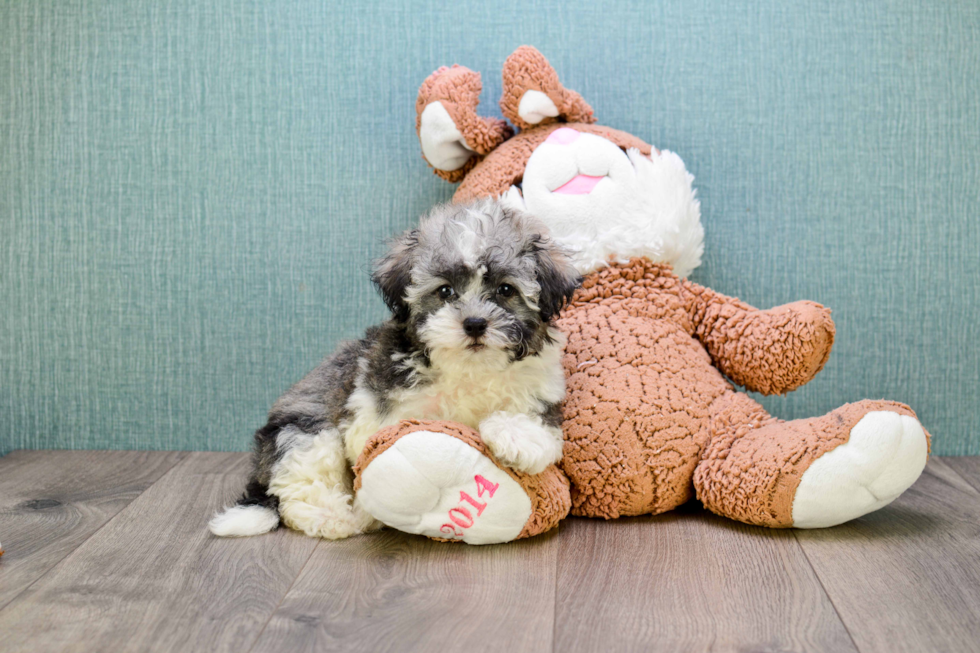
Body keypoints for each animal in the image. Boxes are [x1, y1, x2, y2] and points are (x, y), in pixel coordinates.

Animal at [206, 200, 576, 540]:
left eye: (505, 290)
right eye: (445, 291)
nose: (474, 323)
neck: (468, 369)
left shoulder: (541, 392)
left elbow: (538, 430)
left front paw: (515, 437)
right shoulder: (374, 407)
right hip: (304, 433)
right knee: (299, 489)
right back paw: (338, 517)